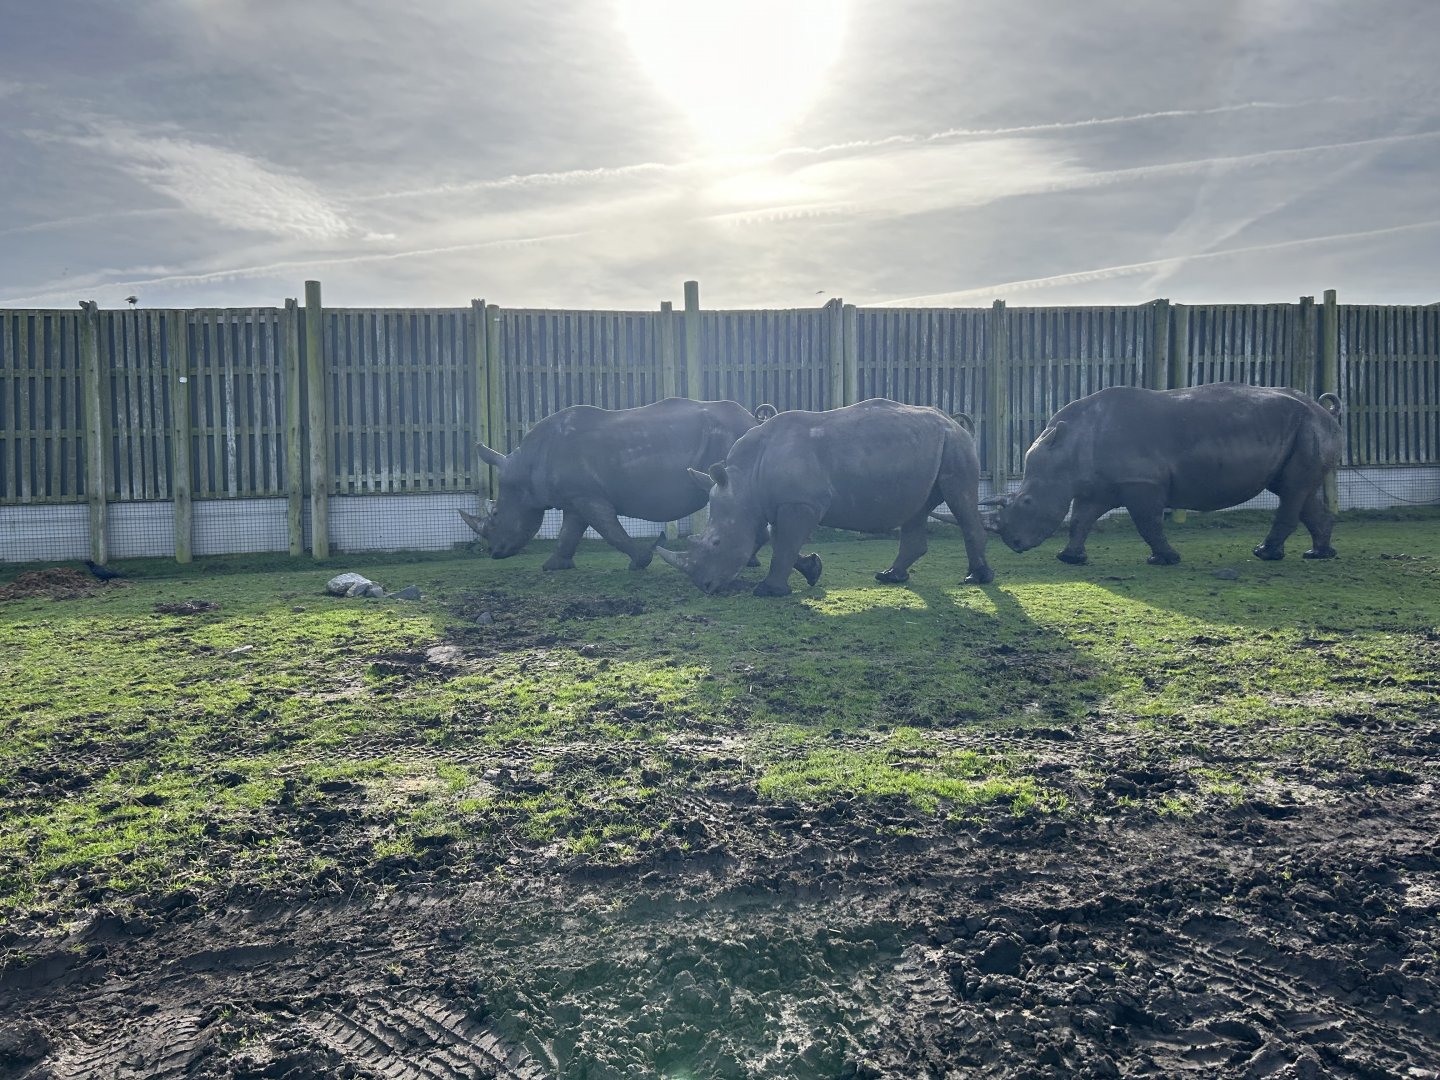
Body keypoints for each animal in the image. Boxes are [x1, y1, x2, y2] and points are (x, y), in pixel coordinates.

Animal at [461, 398, 777, 570]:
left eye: (496, 514)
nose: (495, 553)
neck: (524, 467)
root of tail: (755, 421)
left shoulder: (588, 496)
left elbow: (610, 531)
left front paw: (640, 561)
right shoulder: (575, 498)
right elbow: (569, 532)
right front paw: (553, 566)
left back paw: (745, 559)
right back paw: (749, 560)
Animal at [655, 398, 995, 596]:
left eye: (716, 543)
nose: (704, 587)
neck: (744, 483)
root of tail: (954, 421)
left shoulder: (800, 503)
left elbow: (784, 544)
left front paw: (768, 591)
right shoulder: (779, 503)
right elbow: (781, 541)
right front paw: (812, 570)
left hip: (955, 445)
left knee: (959, 499)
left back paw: (977, 579)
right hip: (933, 447)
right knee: (918, 508)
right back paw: (890, 577)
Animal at [988, 383, 1343, 565]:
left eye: (1027, 502)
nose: (1014, 544)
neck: (1067, 446)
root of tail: (1325, 411)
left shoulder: (1142, 482)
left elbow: (1148, 523)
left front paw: (1165, 559)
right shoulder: (1099, 485)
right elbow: (1080, 519)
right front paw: (1069, 559)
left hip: (1307, 427)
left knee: (1293, 491)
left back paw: (1265, 555)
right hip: (1302, 431)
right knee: (1297, 490)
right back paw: (1317, 555)